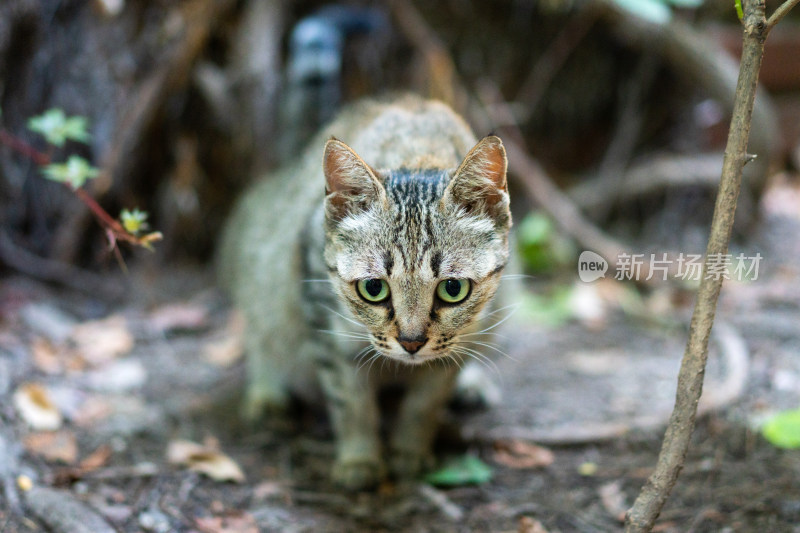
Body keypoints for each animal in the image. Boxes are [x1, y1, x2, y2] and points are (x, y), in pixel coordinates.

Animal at [220, 93, 512, 488]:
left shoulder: (466, 334)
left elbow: (425, 402)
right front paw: (359, 459)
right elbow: (351, 400)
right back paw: (266, 390)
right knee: (259, 328)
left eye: (453, 288)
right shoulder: (323, 320)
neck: (417, 153)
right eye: (373, 288)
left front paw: (410, 451)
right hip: (258, 260)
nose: (411, 343)